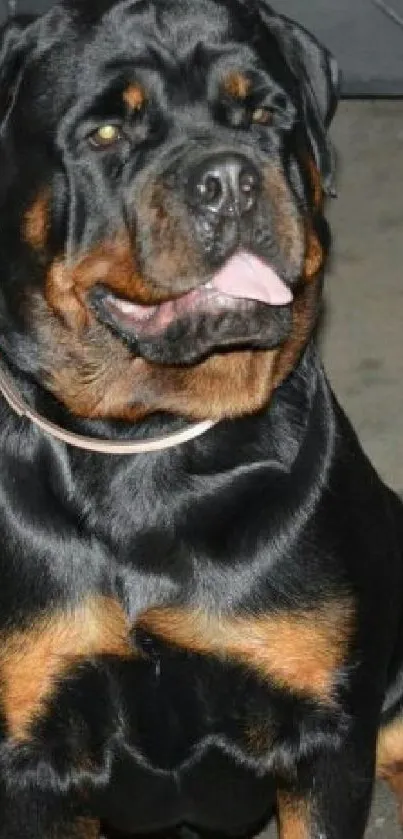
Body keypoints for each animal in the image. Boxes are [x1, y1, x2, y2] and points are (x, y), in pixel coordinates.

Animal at [0, 0, 403, 836]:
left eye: (264, 116)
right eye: (107, 133)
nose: (229, 178)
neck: (147, 445)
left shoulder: (327, 740)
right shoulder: (31, 755)